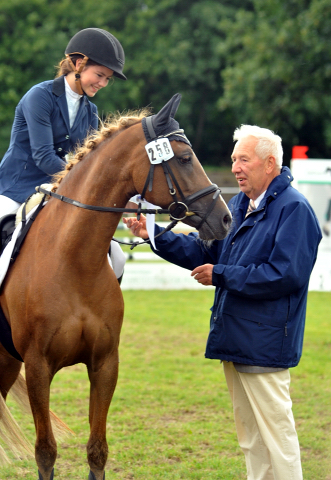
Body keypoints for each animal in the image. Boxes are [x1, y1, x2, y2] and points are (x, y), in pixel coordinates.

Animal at [0, 92, 232, 478]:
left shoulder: (105, 364)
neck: (73, 259)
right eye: (185, 159)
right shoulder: (37, 367)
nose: (225, 219)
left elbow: (97, 451)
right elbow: (46, 452)